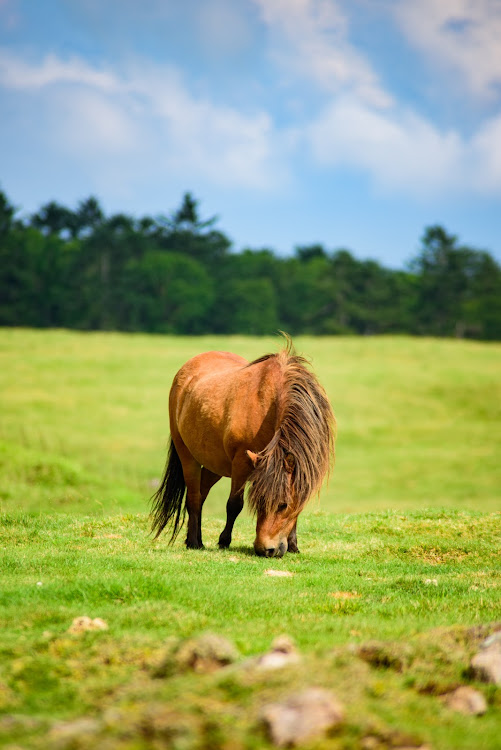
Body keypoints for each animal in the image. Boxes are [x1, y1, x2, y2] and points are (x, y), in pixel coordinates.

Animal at [150, 338, 334, 556]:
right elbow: (234, 504)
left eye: (283, 505)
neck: (271, 404)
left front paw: (293, 546)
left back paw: (193, 539)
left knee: (201, 494)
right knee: (194, 497)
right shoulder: (242, 463)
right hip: (188, 456)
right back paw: (195, 542)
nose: (266, 550)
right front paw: (224, 541)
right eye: (259, 501)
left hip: (216, 465)